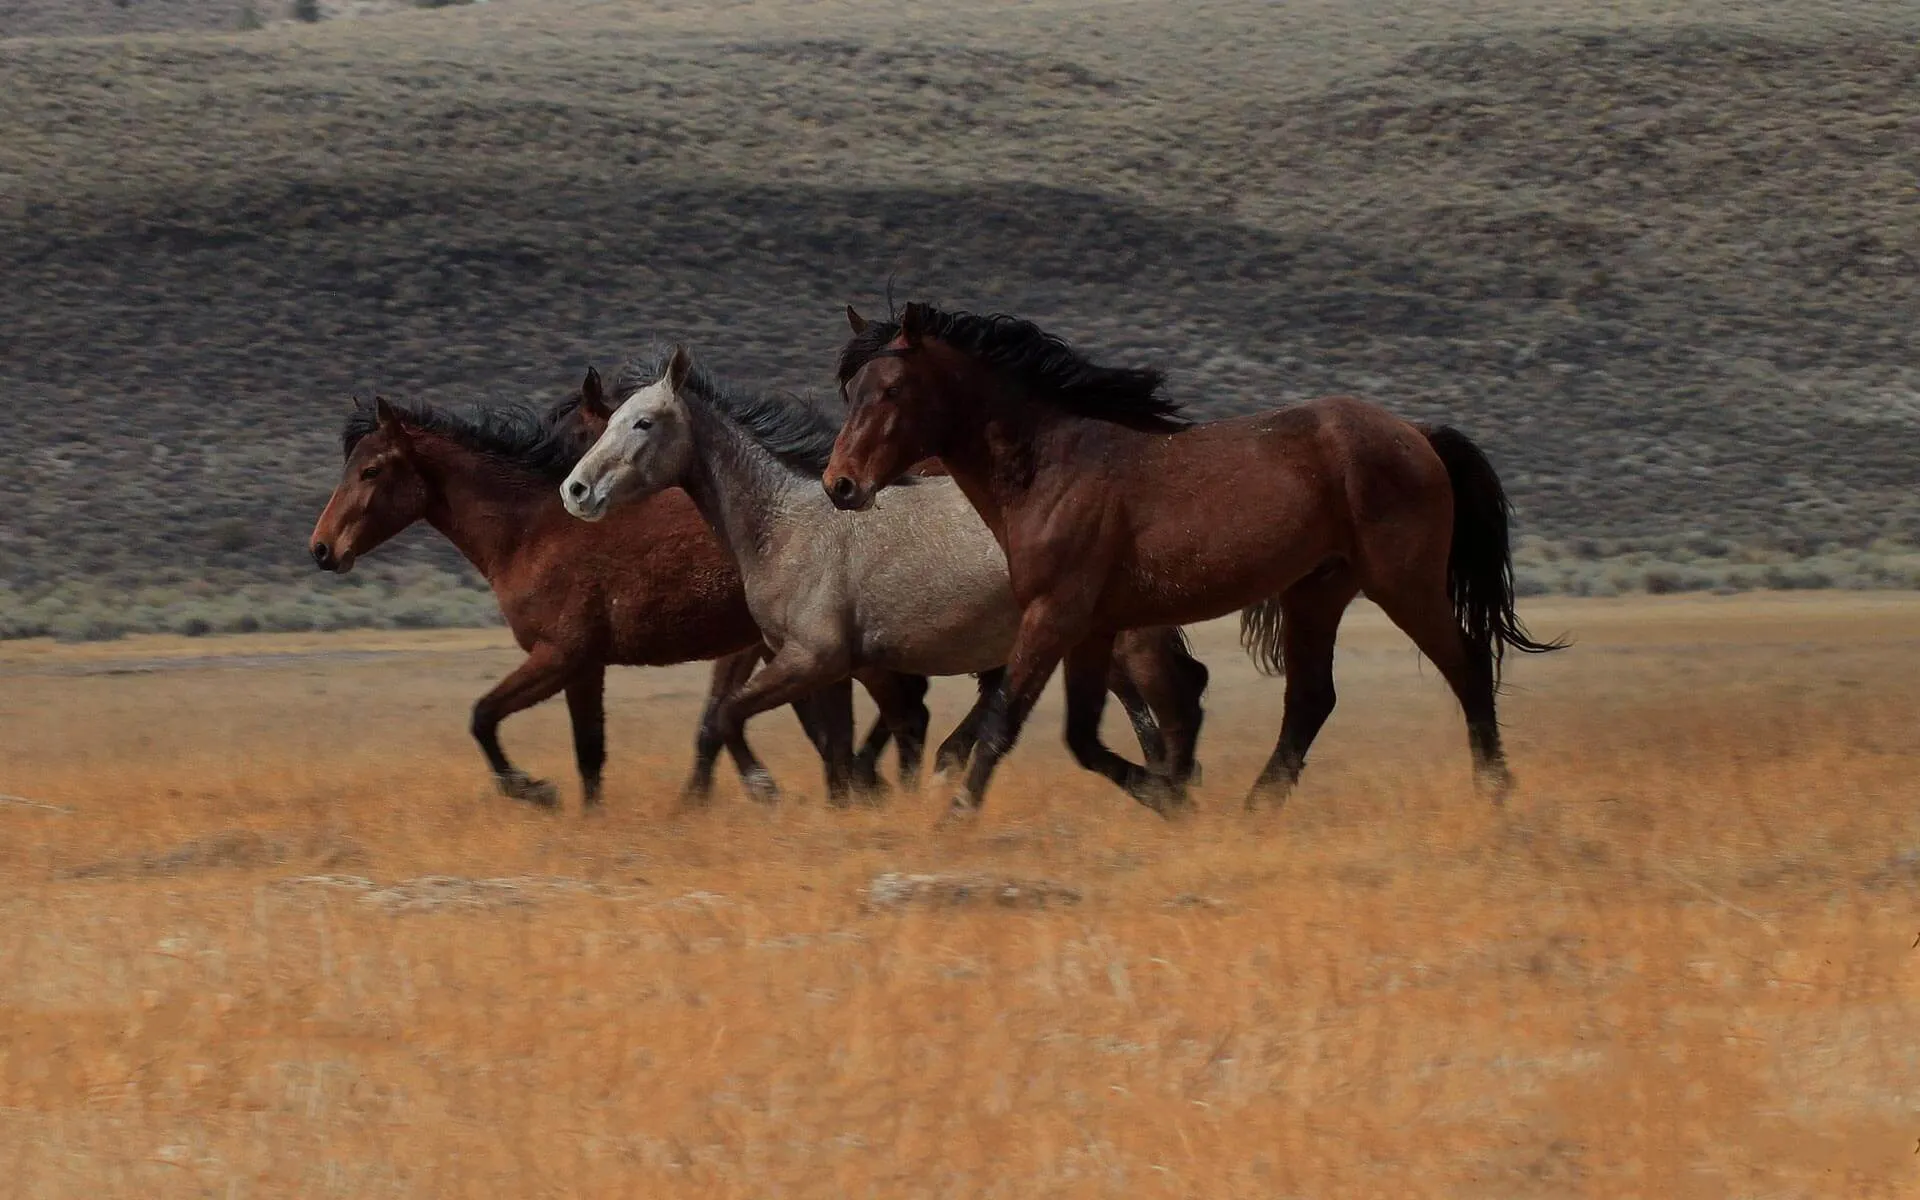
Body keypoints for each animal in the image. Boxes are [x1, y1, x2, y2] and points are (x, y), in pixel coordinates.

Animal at [308, 379, 927, 809]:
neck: (532, 530)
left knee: (901, 710)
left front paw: (533, 790)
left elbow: (483, 717)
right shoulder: (584, 666)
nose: (322, 548)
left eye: (371, 470)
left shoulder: (559, 656)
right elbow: (590, 752)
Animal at [558, 346, 1211, 811]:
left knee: (1174, 697)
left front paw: (767, 788)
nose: (576, 490)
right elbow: (834, 743)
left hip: (1123, 639)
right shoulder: (828, 666)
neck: (786, 524)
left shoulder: (813, 658)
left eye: (643, 423)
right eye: (606, 424)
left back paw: (1169, 793)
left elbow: (729, 716)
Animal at [824, 302, 1566, 818]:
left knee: (1466, 666)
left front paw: (955, 816)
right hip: (1317, 591)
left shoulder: (1054, 616)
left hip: (1402, 583)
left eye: (891, 391)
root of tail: (1418, 433)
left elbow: (1006, 721)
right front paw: (1171, 797)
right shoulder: (1091, 628)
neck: (1054, 465)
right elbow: (1082, 738)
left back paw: (1495, 791)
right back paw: (1255, 809)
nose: (841, 485)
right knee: (1311, 699)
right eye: (849, 391)